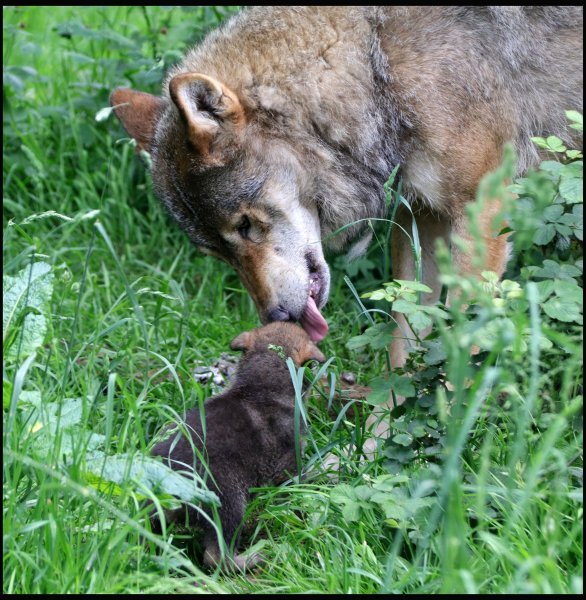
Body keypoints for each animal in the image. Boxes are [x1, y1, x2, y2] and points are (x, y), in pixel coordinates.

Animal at [109, 7, 580, 446]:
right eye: (218, 253)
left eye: (245, 225)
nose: (275, 316)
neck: (377, 63)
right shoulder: (421, 215)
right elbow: (405, 338)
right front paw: (386, 432)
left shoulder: (482, 208)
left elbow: (461, 342)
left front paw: (447, 435)